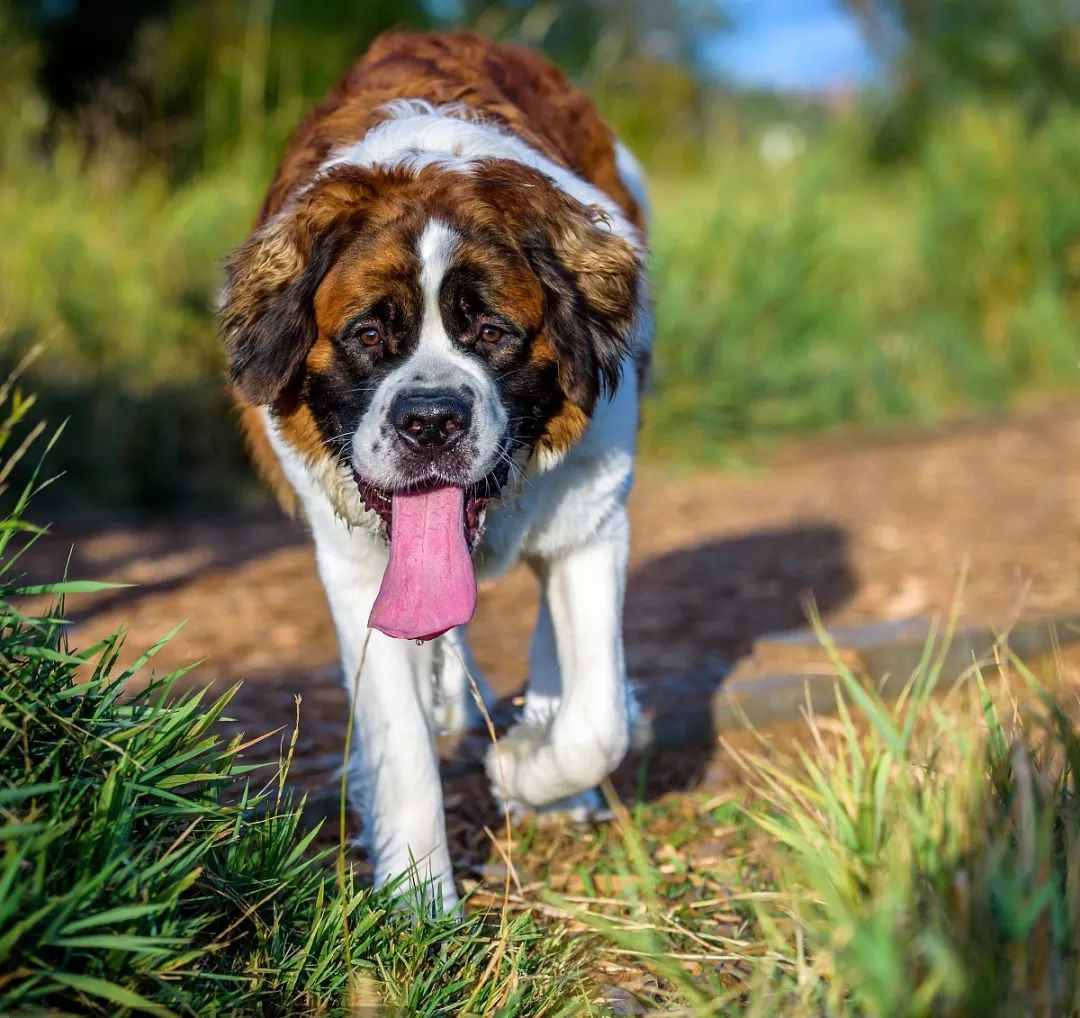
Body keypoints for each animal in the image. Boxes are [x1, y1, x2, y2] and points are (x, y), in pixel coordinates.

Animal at [221, 31, 648, 911]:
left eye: (490, 332)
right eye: (368, 336)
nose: (429, 421)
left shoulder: (593, 519)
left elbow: (598, 722)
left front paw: (526, 766)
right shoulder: (355, 569)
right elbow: (404, 746)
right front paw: (419, 907)